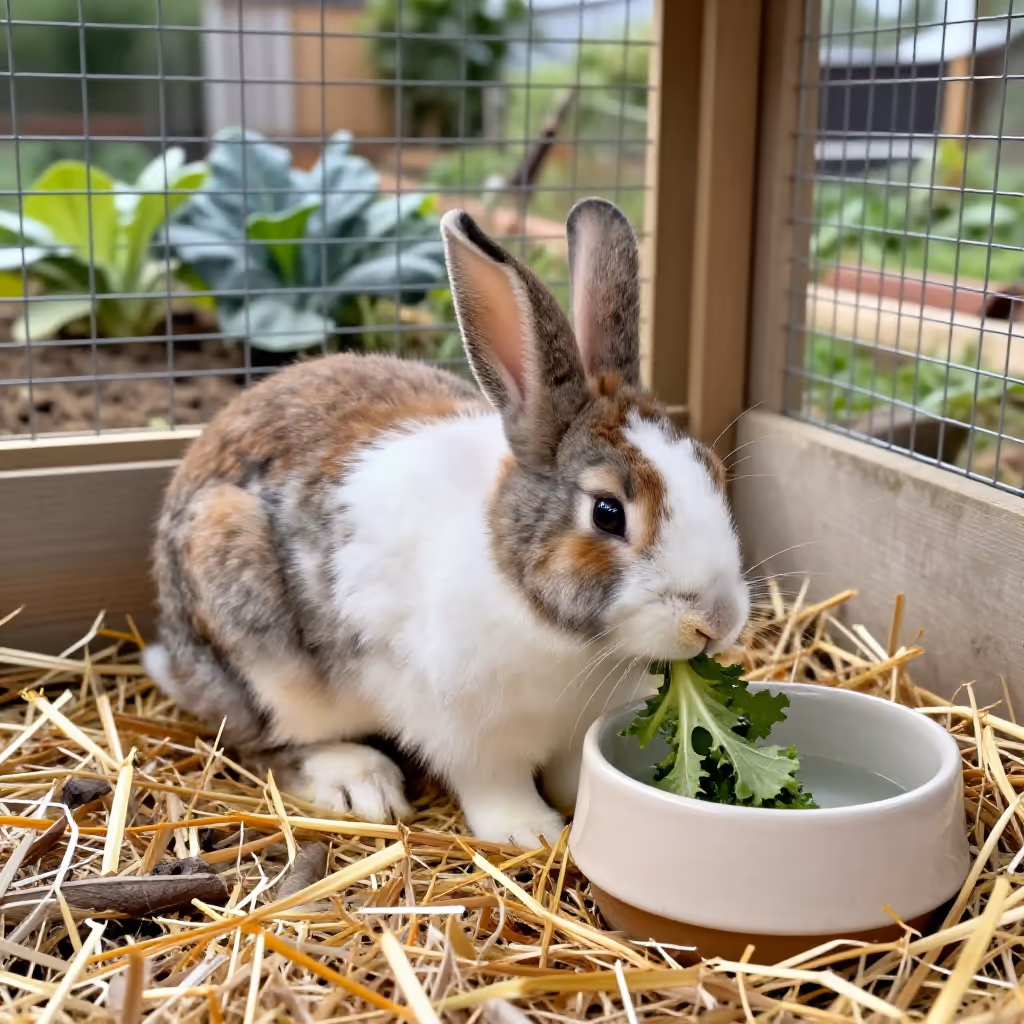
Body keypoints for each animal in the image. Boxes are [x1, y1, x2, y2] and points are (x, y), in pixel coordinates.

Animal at [144, 198, 750, 848]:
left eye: (714, 471)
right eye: (608, 513)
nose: (715, 623)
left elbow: (572, 768)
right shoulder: (466, 729)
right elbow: (494, 783)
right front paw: (530, 833)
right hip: (256, 642)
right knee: (260, 743)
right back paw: (358, 780)